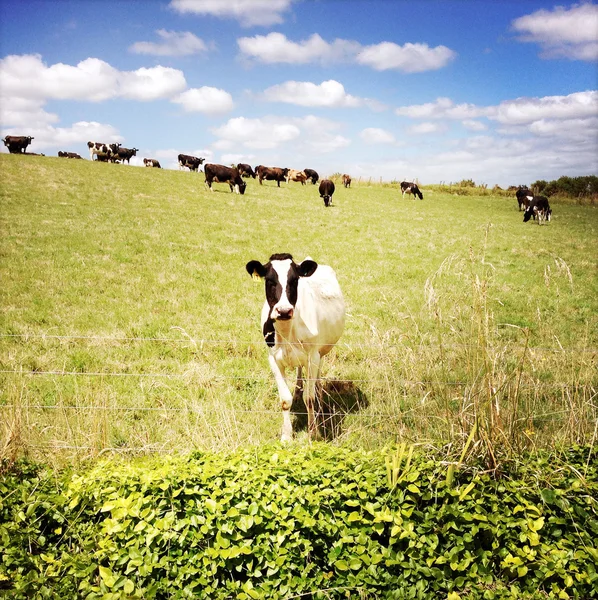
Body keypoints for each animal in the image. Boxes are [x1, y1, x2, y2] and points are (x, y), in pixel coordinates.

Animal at [245, 253, 346, 440]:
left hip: (321, 352)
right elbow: (285, 400)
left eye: (294, 280)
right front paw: (286, 436)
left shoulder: (312, 356)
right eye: (269, 280)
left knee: (317, 376)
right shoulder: (273, 359)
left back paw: (319, 394)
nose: (284, 311)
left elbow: (310, 398)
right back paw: (298, 389)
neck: (287, 332)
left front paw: (313, 432)